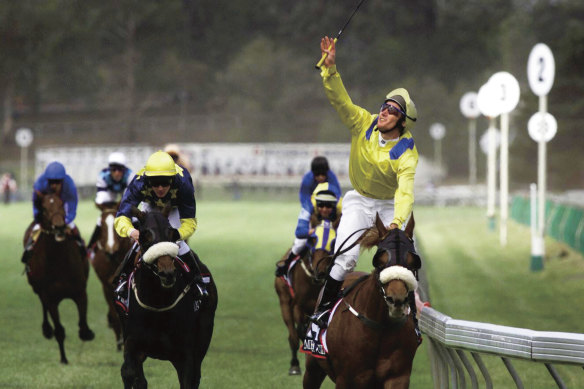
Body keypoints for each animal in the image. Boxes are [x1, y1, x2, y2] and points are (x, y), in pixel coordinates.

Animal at [24, 191, 94, 364]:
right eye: (44, 208)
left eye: (62, 204)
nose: (59, 226)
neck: (59, 262)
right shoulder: (50, 298)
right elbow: (59, 329)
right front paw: (63, 359)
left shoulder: (80, 292)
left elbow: (83, 325)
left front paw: (87, 333)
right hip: (37, 288)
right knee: (43, 306)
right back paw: (46, 329)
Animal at [118, 205, 217, 386]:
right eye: (144, 236)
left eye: (172, 234)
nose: (167, 273)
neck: (157, 302)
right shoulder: (133, 343)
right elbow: (129, 373)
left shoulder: (185, 354)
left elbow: (189, 379)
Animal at [274, 220, 336, 374]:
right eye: (313, 240)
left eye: (333, 243)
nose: (321, 271)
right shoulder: (298, 306)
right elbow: (300, 330)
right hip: (284, 302)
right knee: (293, 335)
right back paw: (295, 364)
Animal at [304, 214, 422, 386]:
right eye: (380, 261)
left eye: (413, 262)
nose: (396, 300)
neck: (381, 327)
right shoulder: (346, 379)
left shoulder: (398, 377)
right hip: (312, 367)